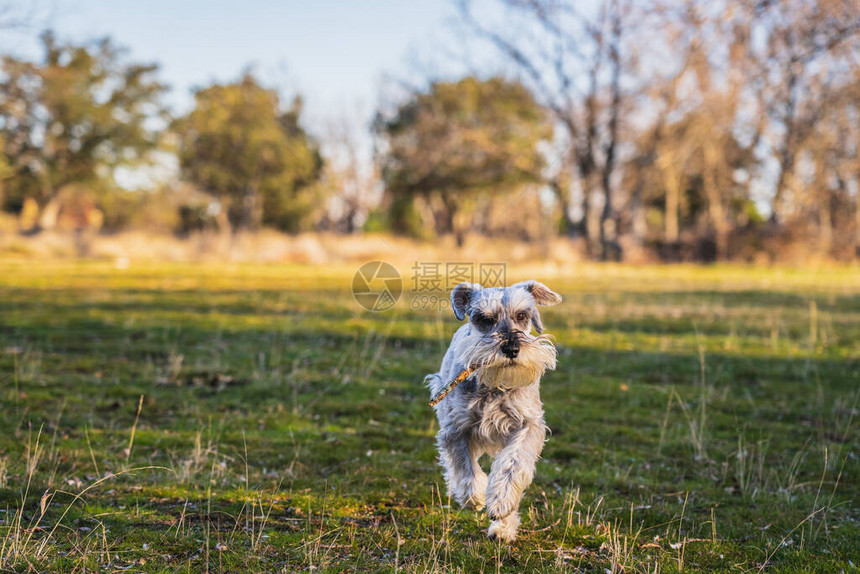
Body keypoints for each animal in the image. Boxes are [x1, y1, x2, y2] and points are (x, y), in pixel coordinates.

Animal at [424, 282, 560, 544]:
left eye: (522, 315)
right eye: (485, 318)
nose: (512, 348)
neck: (494, 385)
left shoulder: (528, 425)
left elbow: (512, 466)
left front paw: (501, 502)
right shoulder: (455, 429)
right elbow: (465, 466)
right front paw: (474, 497)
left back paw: (502, 528)